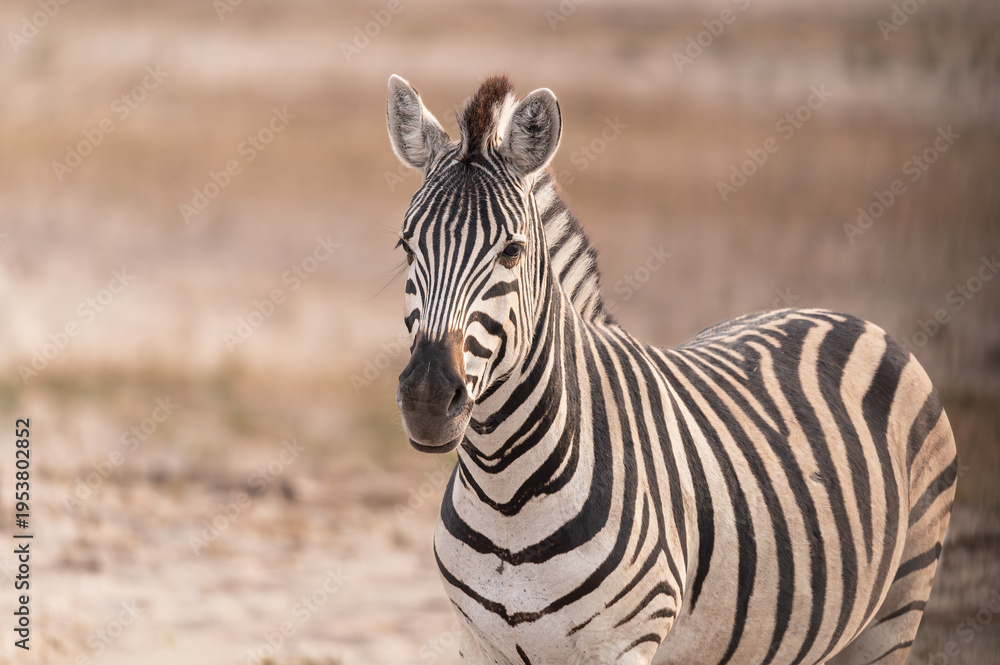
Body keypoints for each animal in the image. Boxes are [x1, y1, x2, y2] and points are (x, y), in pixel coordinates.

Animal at [385, 73, 957, 665]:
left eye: (513, 251)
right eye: (406, 245)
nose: (427, 399)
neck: (507, 497)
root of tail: (843, 315)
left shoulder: (623, 644)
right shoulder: (477, 643)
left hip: (897, 607)